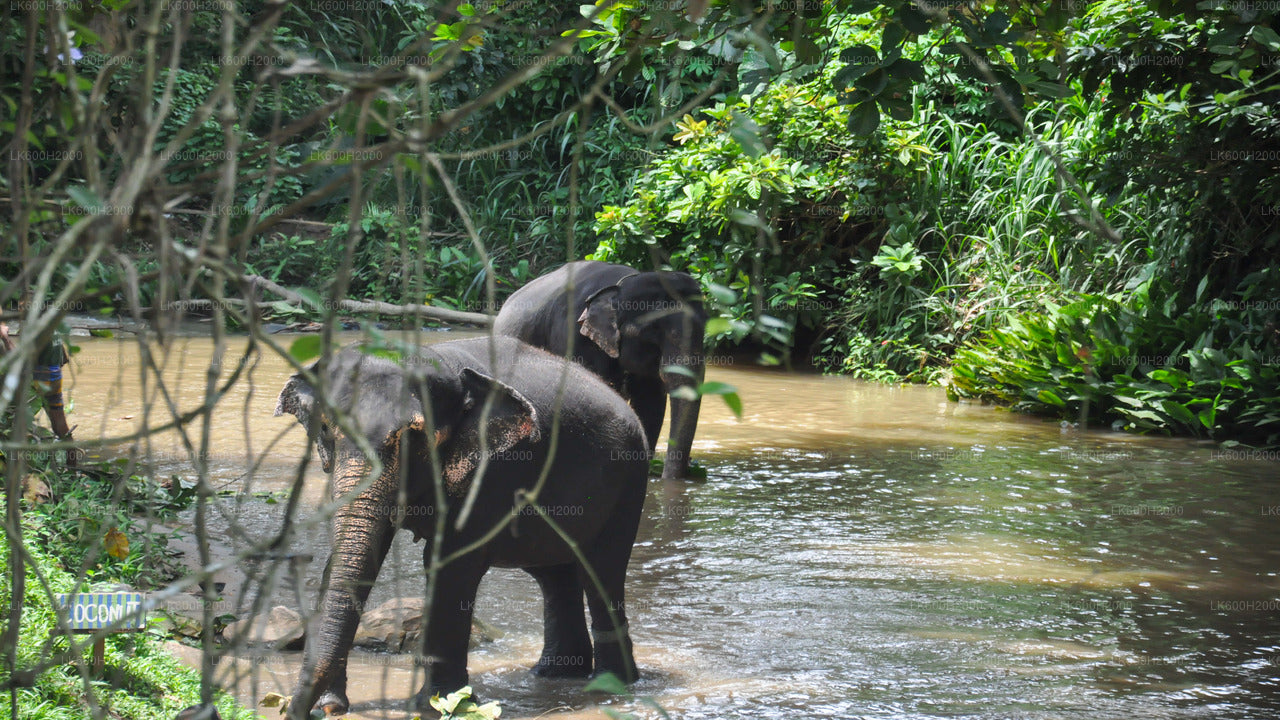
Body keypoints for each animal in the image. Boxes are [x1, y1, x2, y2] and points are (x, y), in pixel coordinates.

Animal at [274, 336, 649, 717]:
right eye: (325, 430)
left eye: (412, 439)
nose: (315, 711)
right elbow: (355, 557)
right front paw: (333, 704)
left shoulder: (491, 471)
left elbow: (448, 565)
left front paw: (439, 704)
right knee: (555, 575)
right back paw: (554, 674)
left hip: (630, 483)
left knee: (601, 571)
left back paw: (610, 683)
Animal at [493, 260, 707, 481]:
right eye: (652, 331)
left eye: (705, 328)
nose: (685, 472)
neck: (619, 287)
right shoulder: (572, 334)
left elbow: (650, 403)